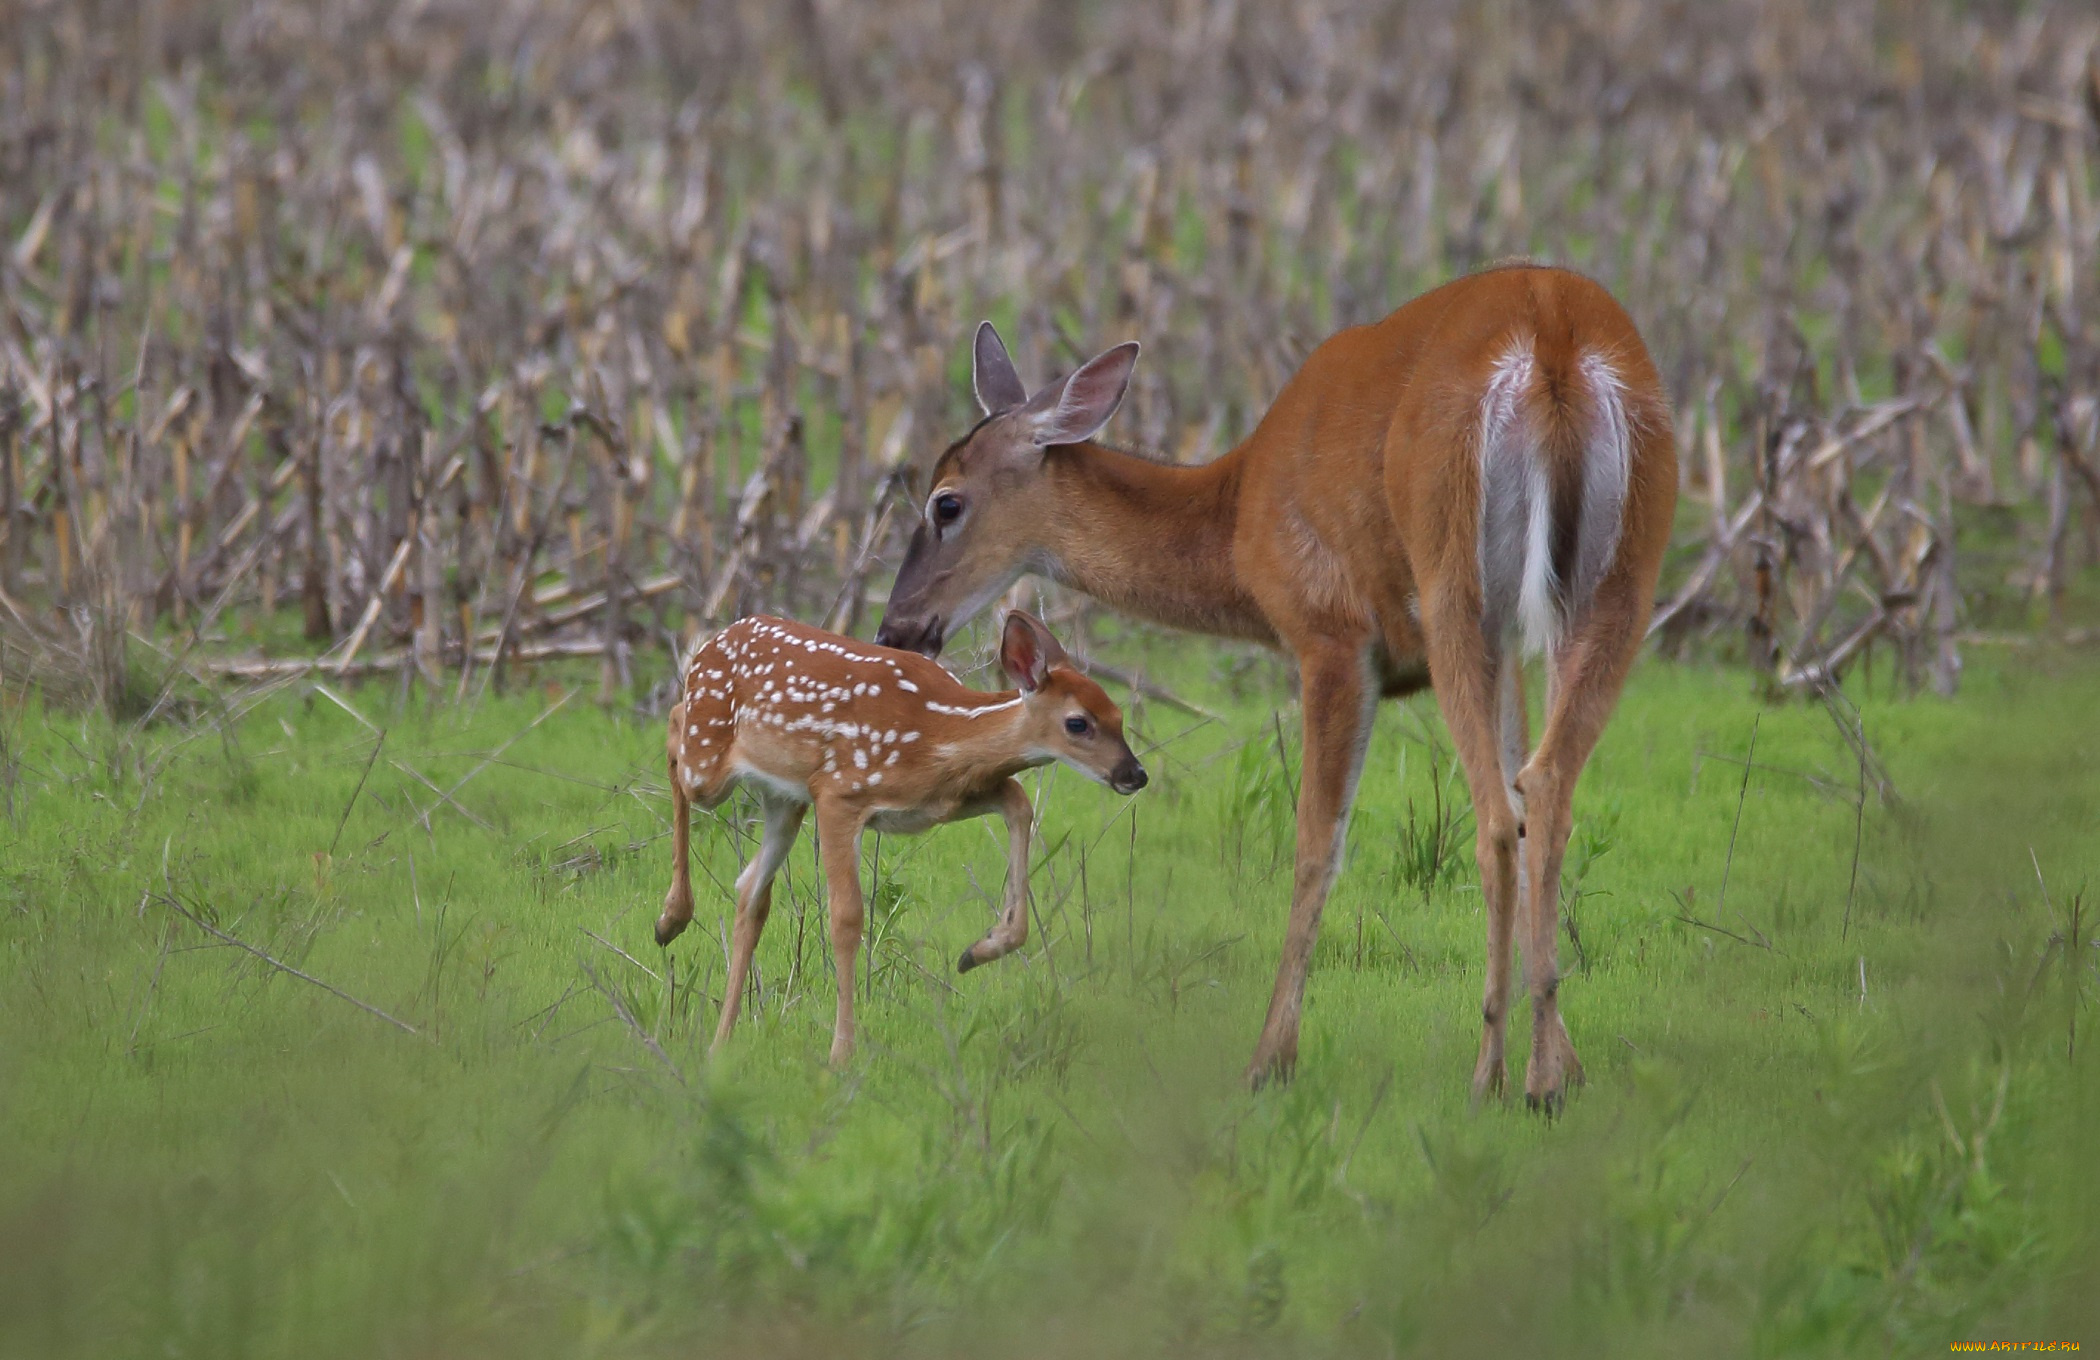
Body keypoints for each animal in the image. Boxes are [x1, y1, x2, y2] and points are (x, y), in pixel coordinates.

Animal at [659, 612, 1142, 1066]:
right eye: (1078, 723)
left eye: (1120, 716)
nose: (1135, 774)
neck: (935, 733)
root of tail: (714, 642)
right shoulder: (839, 792)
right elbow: (847, 918)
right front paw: (841, 1054)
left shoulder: (946, 799)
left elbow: (1021, 806)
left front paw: (980, 950)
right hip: (710, 764)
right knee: (676, 726)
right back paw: (671, 919)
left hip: (785, 798)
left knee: (750, 891)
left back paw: (720, 1041)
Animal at [877, 263, 1679, 1108]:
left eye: (946, 502)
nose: (897, 628)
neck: (1236, 524)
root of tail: (1552, 340)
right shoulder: (1512, 645)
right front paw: (1567, 1062)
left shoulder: (1330, 631)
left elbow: (1316, 842)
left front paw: (1270, 1059)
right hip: (1618, 578)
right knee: (1543, 790)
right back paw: (1540, 1079)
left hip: (1454, 576)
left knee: (1496, 818)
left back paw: (1488, 1074)